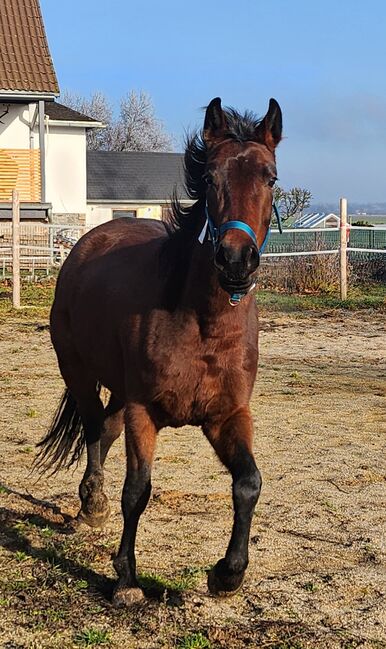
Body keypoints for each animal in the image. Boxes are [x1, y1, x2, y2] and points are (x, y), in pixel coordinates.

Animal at [36, 97, 282, 608]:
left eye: (270, 177)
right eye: (210, 178)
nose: (235, 260)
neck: (204, 325)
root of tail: (85, 243)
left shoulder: (227, 415)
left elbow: (249, 483)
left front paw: (227, 575)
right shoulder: (143, 411)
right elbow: (137, 491)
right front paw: (127, 580)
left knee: (105, 429)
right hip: (79, 373)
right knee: (94, 428)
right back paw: (92, 504)